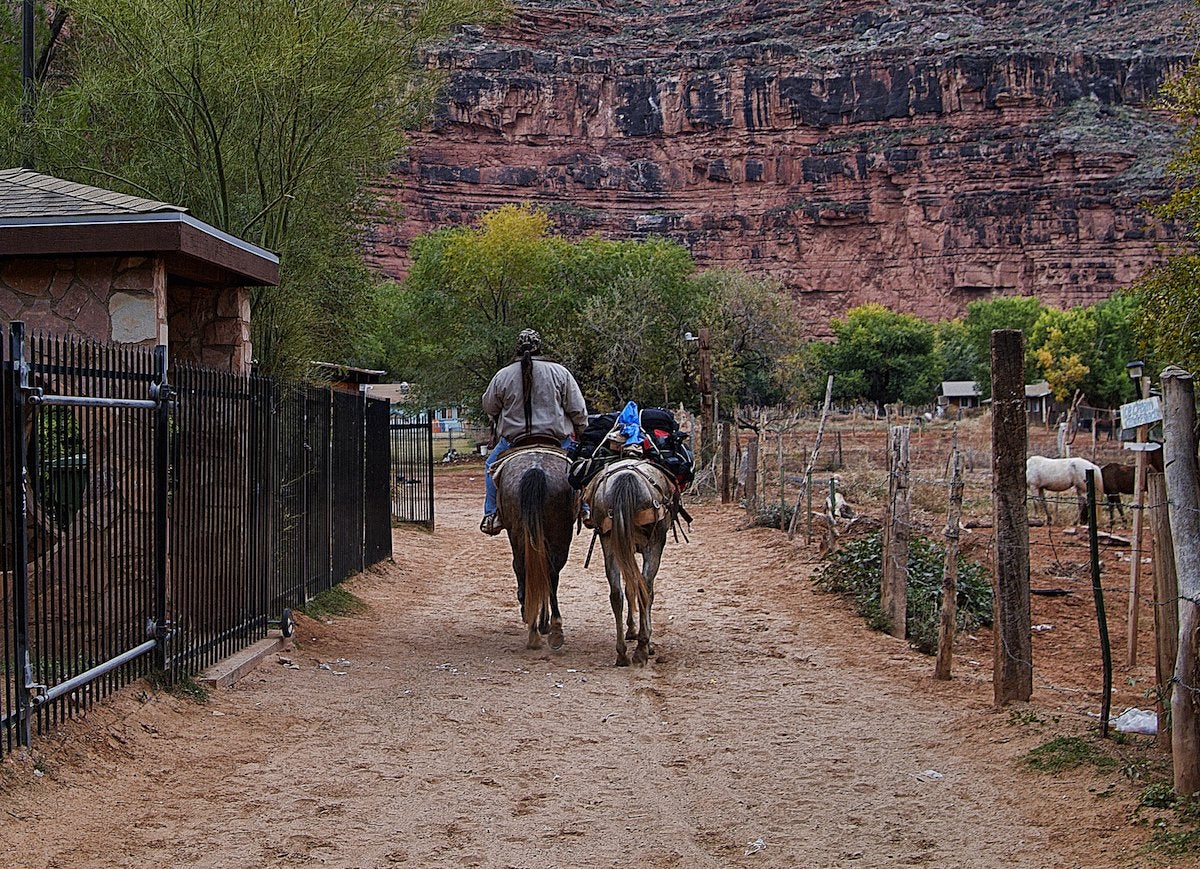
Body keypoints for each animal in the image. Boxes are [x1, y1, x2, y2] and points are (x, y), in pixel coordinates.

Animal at [492, 448, 576, 652]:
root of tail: (535, 469)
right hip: (557, 535)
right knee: (549, 572)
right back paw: (552, 629)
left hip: (521, 533)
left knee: (525, 568)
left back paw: (535, 627)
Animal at [583, 458, 676, 667]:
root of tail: (626, 478)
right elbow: (643, 590)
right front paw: (646, 641)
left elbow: (628, 588)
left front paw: (631, 630)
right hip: (653, 544)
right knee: (645, 590)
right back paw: (641, 649)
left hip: (610, 543)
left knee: (616, 594)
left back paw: (622, 654)